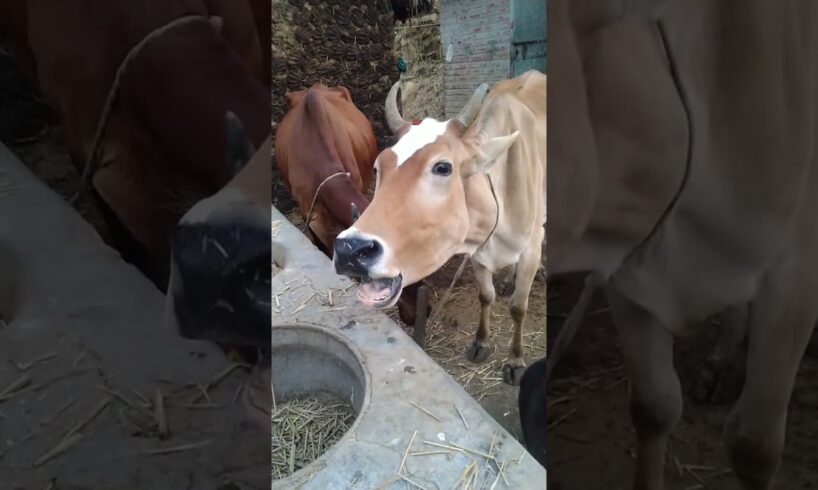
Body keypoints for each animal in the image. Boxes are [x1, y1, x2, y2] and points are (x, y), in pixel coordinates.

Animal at [333, 70, 546, 385]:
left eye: (443, 167)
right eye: (378, 166)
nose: (350, 249)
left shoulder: (530, 248)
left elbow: (518, 307)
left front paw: (516, 360)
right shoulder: (478, 254)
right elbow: (486, 296)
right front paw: (481, 342)